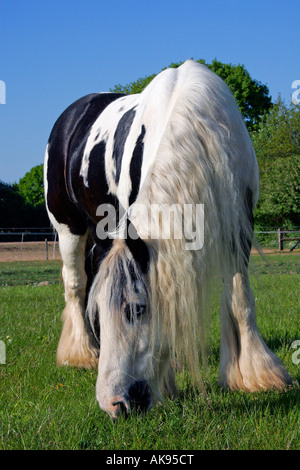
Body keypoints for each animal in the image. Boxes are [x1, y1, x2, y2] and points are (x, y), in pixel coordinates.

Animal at [43, 59, 292, 418]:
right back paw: (81, 354)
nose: (113, 404)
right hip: (69, 229)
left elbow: (240, 299)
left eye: (137, 309)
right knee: (75, 286)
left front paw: (255, 375)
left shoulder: (238, 226)